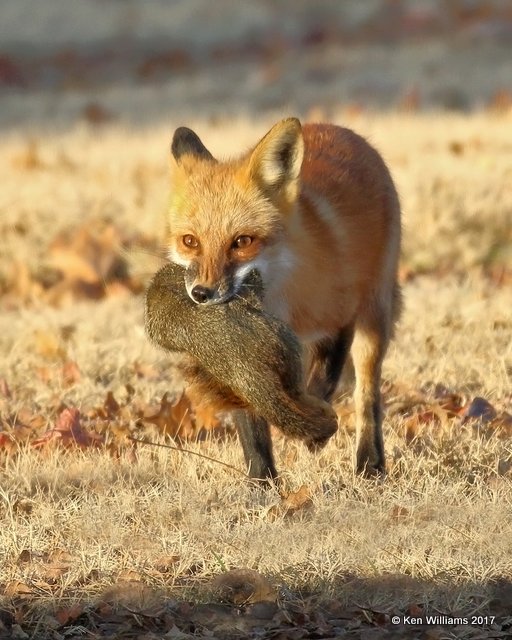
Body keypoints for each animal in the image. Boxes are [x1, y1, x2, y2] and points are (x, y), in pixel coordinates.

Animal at [167, 119, 400, 480]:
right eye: (190, 241)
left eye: (242, 242)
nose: (202, 294)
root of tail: (337, 127)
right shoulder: (241, 353)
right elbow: (252, 430)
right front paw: (261, 484)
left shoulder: (341, 317)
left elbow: (325, 380)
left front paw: (315, 431)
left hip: (372, 320)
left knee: (368, 395)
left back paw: (369, 462)